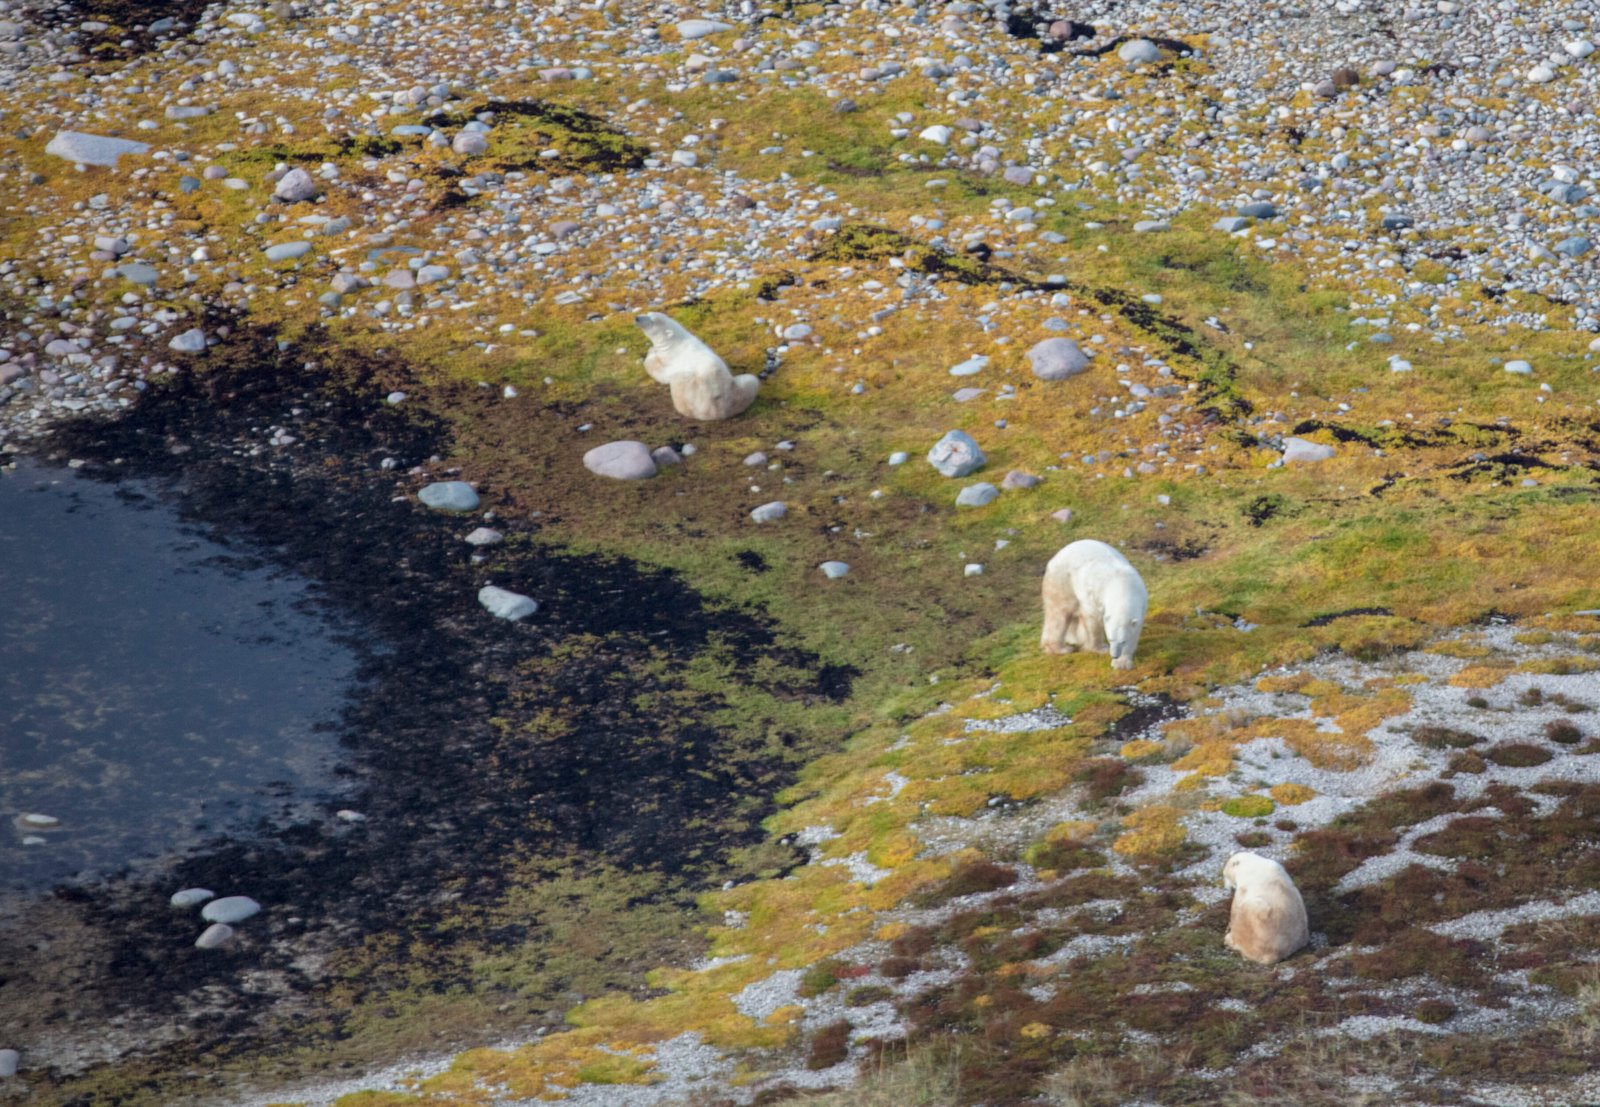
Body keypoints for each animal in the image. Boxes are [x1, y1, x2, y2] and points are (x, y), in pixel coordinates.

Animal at [1043, 537, 1145, 668]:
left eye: (1123, 641)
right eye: (1110, 639)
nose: (1114, 655)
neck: (1123, 584)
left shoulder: (1141, 604)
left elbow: (1134, 632)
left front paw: (1122, 662)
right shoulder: (1095, 595)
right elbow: (1094, 619)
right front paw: (1100, 648)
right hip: (1062, 580)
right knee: (1060, 613)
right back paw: (1061, 648)